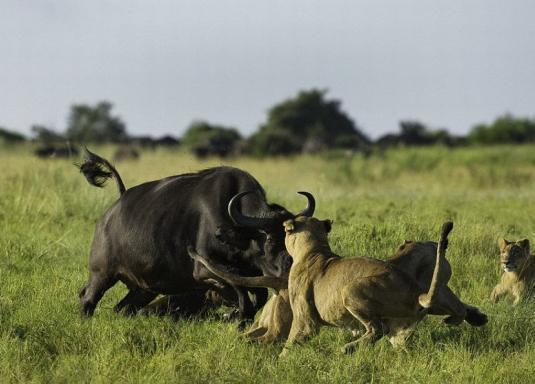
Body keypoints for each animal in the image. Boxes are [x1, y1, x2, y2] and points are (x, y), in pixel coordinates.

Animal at [77, 149, 316, 320]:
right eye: (271, 242)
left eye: (293, 240)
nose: (288, 268)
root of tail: (115, 206)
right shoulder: (205, 270)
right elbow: (240, 294)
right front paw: (233, 313)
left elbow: (256, 298)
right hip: (101, 274)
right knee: (86, 299)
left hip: (143, 289)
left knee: (122, 308)